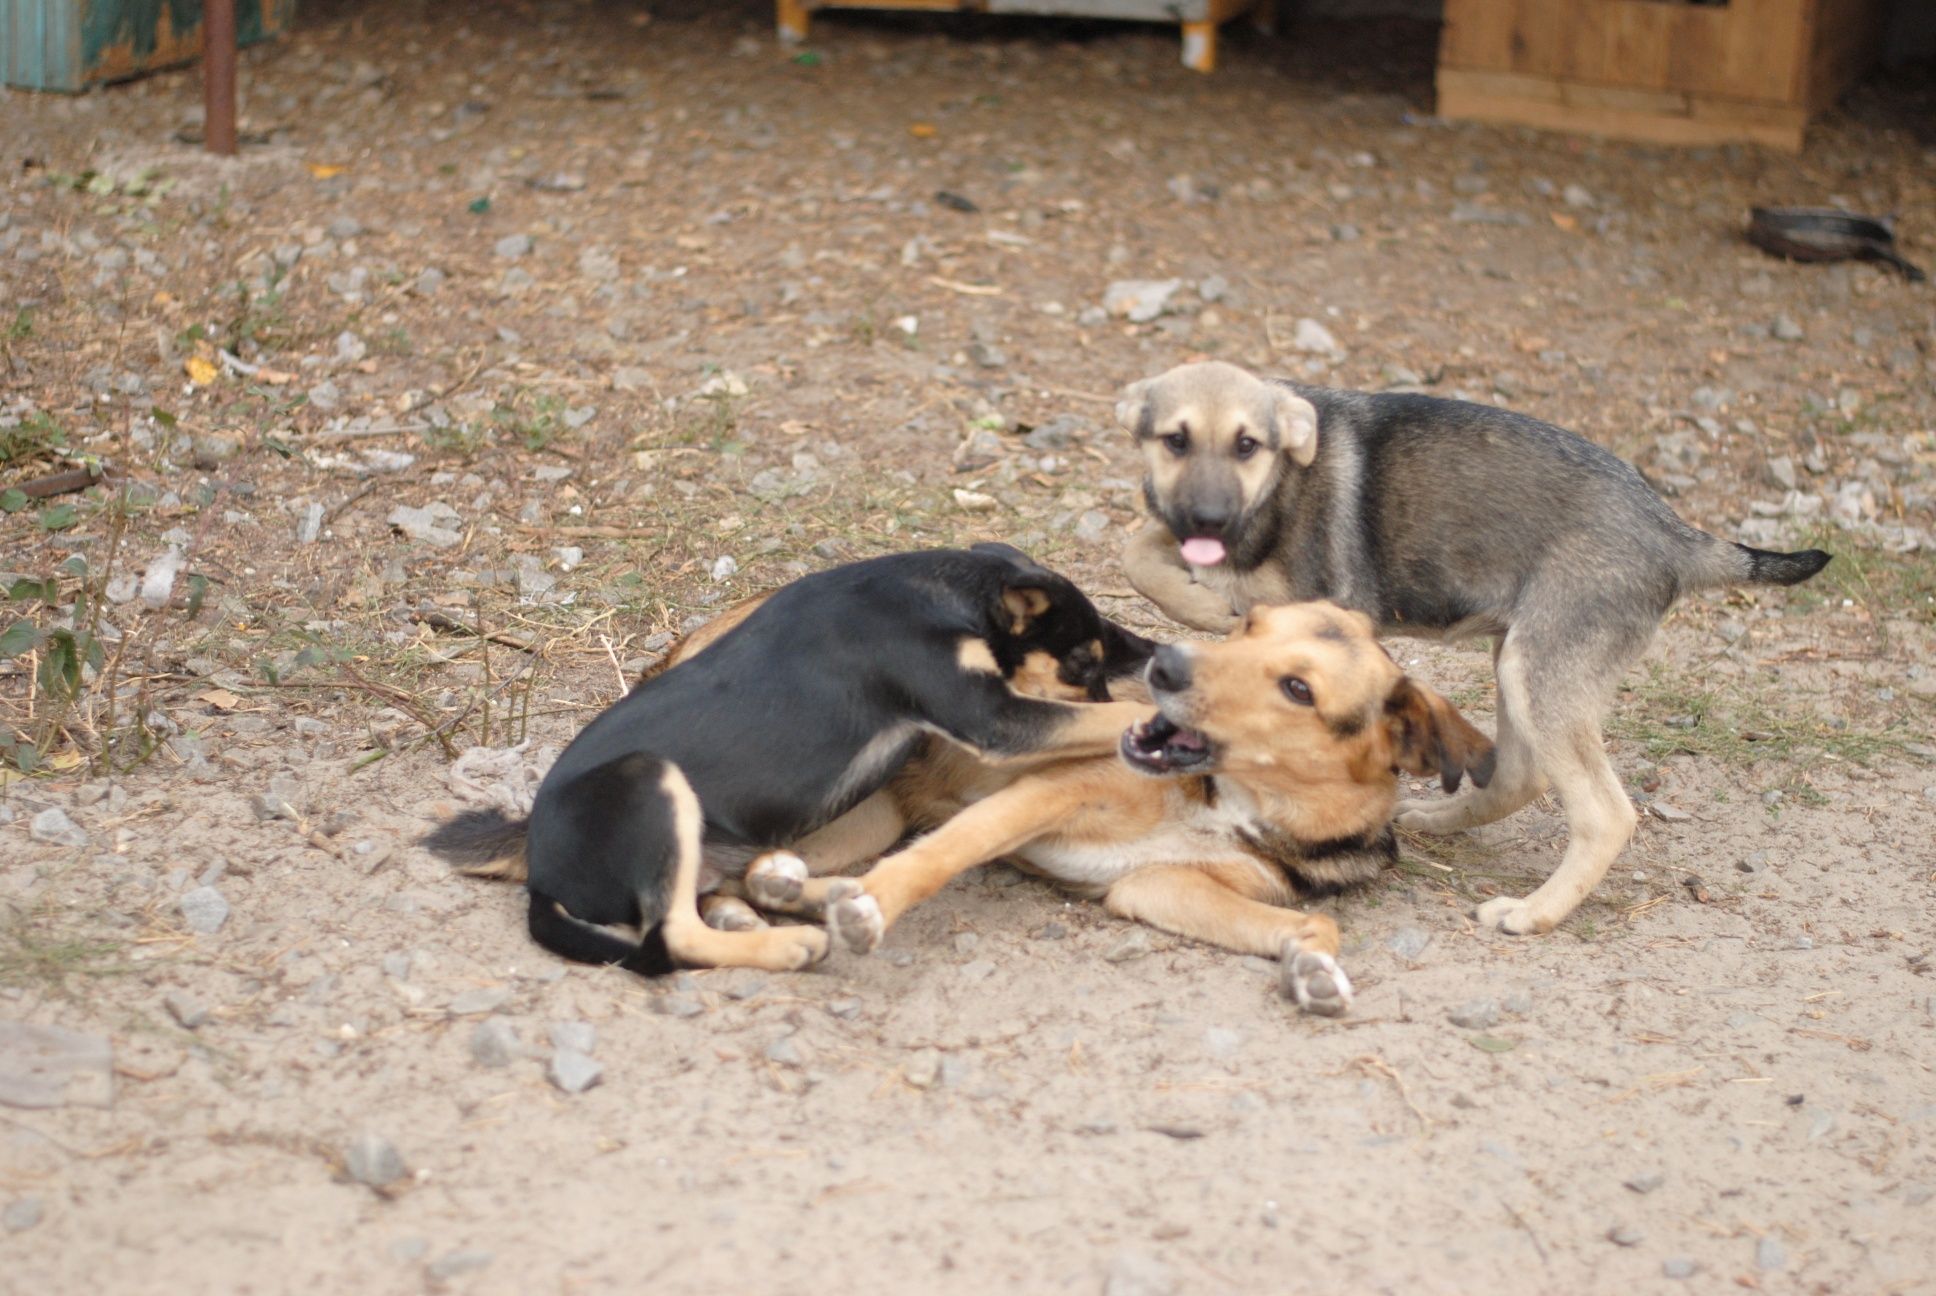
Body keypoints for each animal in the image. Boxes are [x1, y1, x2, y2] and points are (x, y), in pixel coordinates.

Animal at [423, 542, 1146, 976]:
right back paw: (789, 942)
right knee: (675, 935)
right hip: (651, 781)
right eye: (1084, 665)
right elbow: (1103, 721)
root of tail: (540, 871)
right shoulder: (990, 717)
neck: (939, 590)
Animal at [700, 596, 1494, 1007]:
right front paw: (873, 907)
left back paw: (773, 901)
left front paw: (1311, 968)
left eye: (1298, 688)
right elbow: (939, 857)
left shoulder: (1158, 887)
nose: (1161, 664)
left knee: (751, 876)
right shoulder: (1045, 794)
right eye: (1246, 624)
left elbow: (1314, 926)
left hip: (864, 821)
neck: (1225, 802)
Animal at [1122, 358, 1827, 933]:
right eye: (1175, 440)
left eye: (1247, 445)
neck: (1278, 492)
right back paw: (1436, 820)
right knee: (1519, 775)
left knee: (1605, 813)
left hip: (1535, 670)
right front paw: (1198, 601)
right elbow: (1142, 550)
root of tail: (1675, 533)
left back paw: (1534, 913)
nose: (1209, 520)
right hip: (1516, 659)